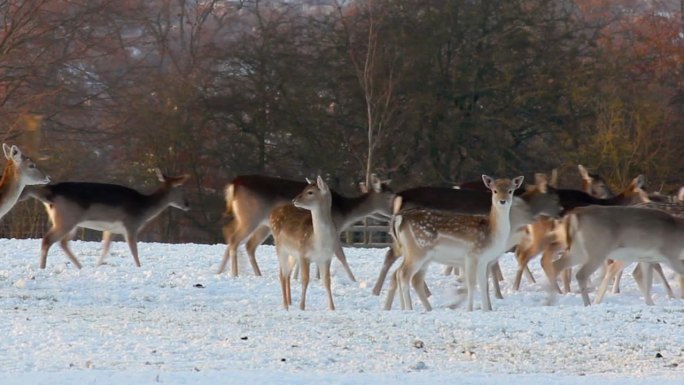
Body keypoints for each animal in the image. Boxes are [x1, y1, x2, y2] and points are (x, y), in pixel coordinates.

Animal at [25, 170, 190, 268]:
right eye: (181, 188)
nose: (187, 204)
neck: (143, 209)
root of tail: (50, 193)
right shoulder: (131, 225)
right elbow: (134, 250)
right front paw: (139, 267)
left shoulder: (111, 229)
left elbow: (105, 248)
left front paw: (98, 265)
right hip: (66, 219)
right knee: (48, 240)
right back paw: (42, 267)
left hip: (70, 222)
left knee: (63, 242)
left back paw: (79, 266)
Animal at [219, 174, 390, 280]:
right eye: (391, 195)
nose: (392, 213)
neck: (345, 213)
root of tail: (233, 184)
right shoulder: (333, 230)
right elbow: (339, 255)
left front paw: (301, 276)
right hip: (251, 217)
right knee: (235, 240)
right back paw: (235, 273)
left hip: (259, 224)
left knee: (241, 241)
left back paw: (227, 272)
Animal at [270, 176, 340, 310]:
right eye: (304, 188)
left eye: (310, 192)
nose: (294, 199)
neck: (318, 241)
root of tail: (272, 212)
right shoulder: (303, 254)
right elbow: (305, 279)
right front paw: (302, 306)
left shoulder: (326, 258)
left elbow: (327, 281)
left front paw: (332, 307)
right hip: (280, 247)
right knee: (282, 274)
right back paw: (285, 305)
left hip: (292, 253)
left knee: (287, 273)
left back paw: (290, 302)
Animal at [384, 176, 524, 310]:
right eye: (494, 191)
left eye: (510, 191)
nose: (502, 201)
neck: (493, 233)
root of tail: (399, 218)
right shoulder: (472, 255)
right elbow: (472, 283)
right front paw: (469, 309)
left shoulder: (484, 260)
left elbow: (483, 284)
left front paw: (486, 310)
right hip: (417, 251)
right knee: (403, 274)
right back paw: (409, 308)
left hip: (418, 254)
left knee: (408, 276)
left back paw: (419, 308)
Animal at [552, 206, 684, 304]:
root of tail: (574, 214)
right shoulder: (672, 256)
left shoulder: (648, 259)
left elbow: (647, 284)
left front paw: (650, 304)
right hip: (597, 252)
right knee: (581, 274)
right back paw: (588, 303)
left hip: (579, 251)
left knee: (557, 265)